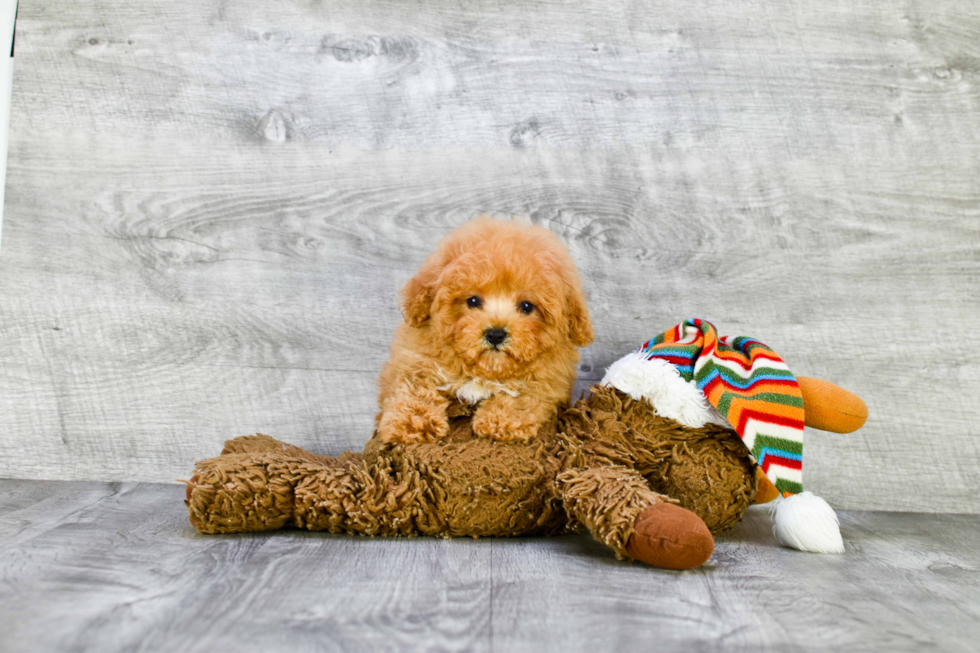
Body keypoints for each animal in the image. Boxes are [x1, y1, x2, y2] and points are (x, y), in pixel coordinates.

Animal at [376, 218, 592, 444]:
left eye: (526, 306)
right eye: (472, 301)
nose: (495, 334)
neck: (485, 370)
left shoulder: (549, 378)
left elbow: (524, 396)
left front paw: (502, 421)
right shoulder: (415, 359)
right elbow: (413, 388)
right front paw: (414, 421)